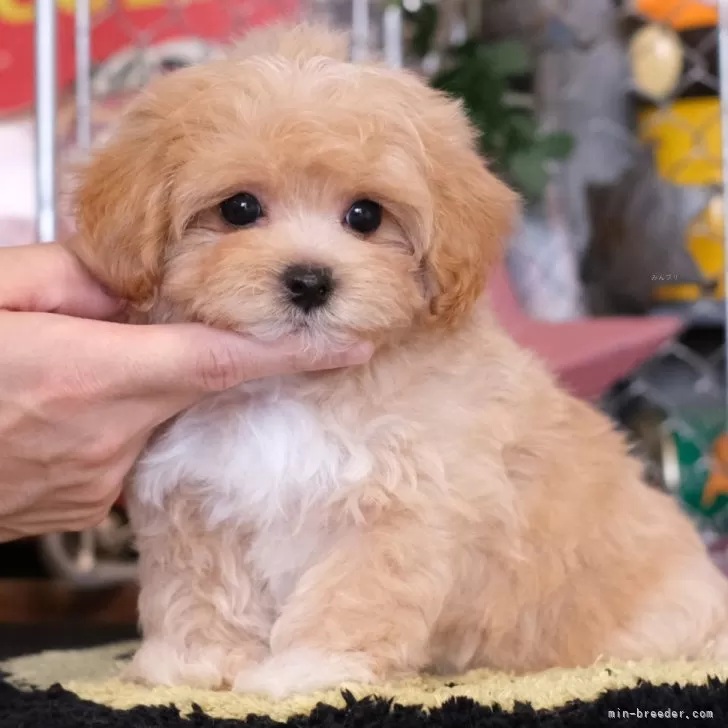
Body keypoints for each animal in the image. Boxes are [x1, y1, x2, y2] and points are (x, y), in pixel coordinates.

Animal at [68, 21, 728, 692]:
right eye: (239, 208)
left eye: (365, 215)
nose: (309, 280)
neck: (294, 384)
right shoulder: (193, 498)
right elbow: (200, 585)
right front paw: (198, 662)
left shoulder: (400, 507)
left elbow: (351, 592)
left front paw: (308, 669)